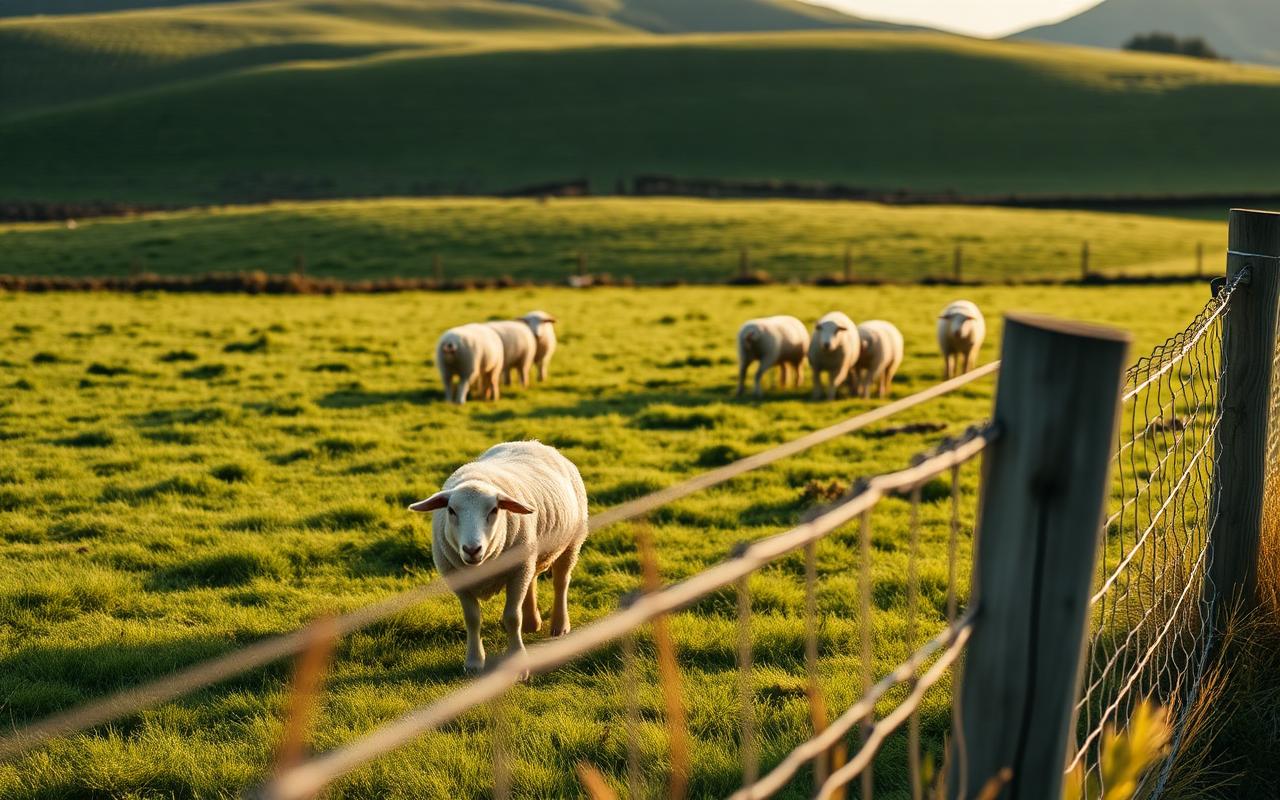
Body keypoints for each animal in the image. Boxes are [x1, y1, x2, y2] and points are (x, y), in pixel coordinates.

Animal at [408, 441, 589, 675]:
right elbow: (472, 619)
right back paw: (532, 623)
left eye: (494, 510)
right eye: (451, 510)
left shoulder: (517, 569)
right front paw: (474, 662)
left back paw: (559, 625)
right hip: (530, 552)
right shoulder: (459, 580)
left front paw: (519, 662)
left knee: (561, 581)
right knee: (532, 580)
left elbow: (512, 617)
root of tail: (532, 442)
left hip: (572, 542)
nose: (472, 549)